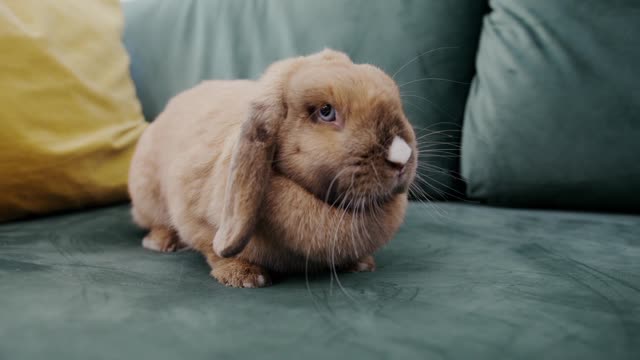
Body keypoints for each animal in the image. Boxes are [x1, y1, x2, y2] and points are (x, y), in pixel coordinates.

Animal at [127, 50, 418, 286]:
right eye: (326, 111)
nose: (402, 155)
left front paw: (361, 264)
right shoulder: (193, 215)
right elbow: (212, 247)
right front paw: (244, 276)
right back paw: (161, 243)